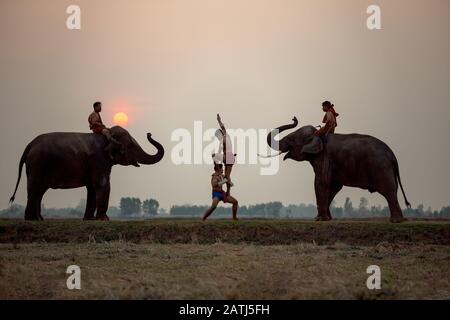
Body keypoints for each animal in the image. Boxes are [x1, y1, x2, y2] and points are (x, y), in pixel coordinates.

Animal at [9, 125, 164, 220]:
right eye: (131, 145)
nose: (149, 133)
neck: (107, 134)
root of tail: (29, 145)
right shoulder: (99, 160)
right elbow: (103, 184)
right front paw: (104, 220)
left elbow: (92, 187)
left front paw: (89, 220)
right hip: (38, 165)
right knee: (35, 189)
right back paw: (31, 220)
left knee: (39, 191)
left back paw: (38, 219)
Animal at [268, 116, 412, 224]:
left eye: (291, 140)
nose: (294, 118)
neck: (319, 135)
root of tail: (392, 154)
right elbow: (334, 187)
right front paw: (327, 218)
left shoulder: (324, 158)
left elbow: (321, 183)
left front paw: (319, 219)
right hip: (387, 169)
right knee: (393, 190)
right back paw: (400, 220)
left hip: (381, 167)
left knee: (388, 190)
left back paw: (396, 221)